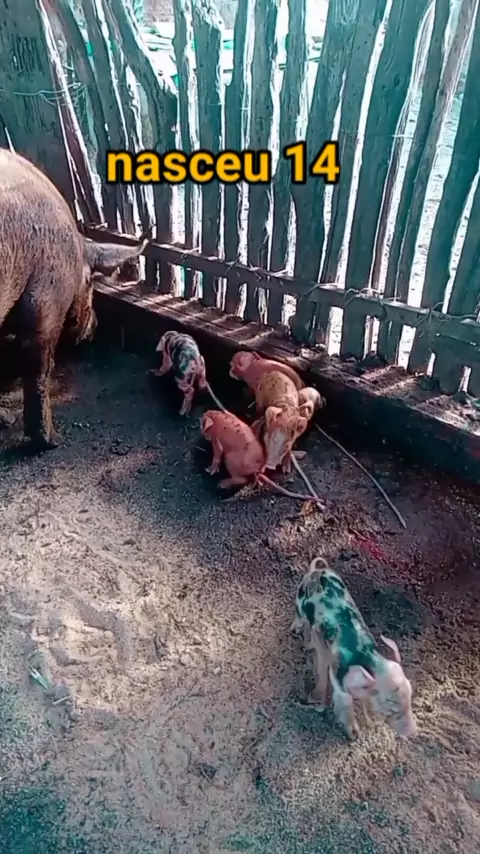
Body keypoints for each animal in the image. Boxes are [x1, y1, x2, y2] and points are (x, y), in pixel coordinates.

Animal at [292, 558, 417, 740]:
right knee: (299, 617)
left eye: (410, 696)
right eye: (390, 707)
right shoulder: (338, 681)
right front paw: (354, 735)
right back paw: (295, 630)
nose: (413, 732)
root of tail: (316, 571)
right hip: (299, 601)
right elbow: (346, 706)